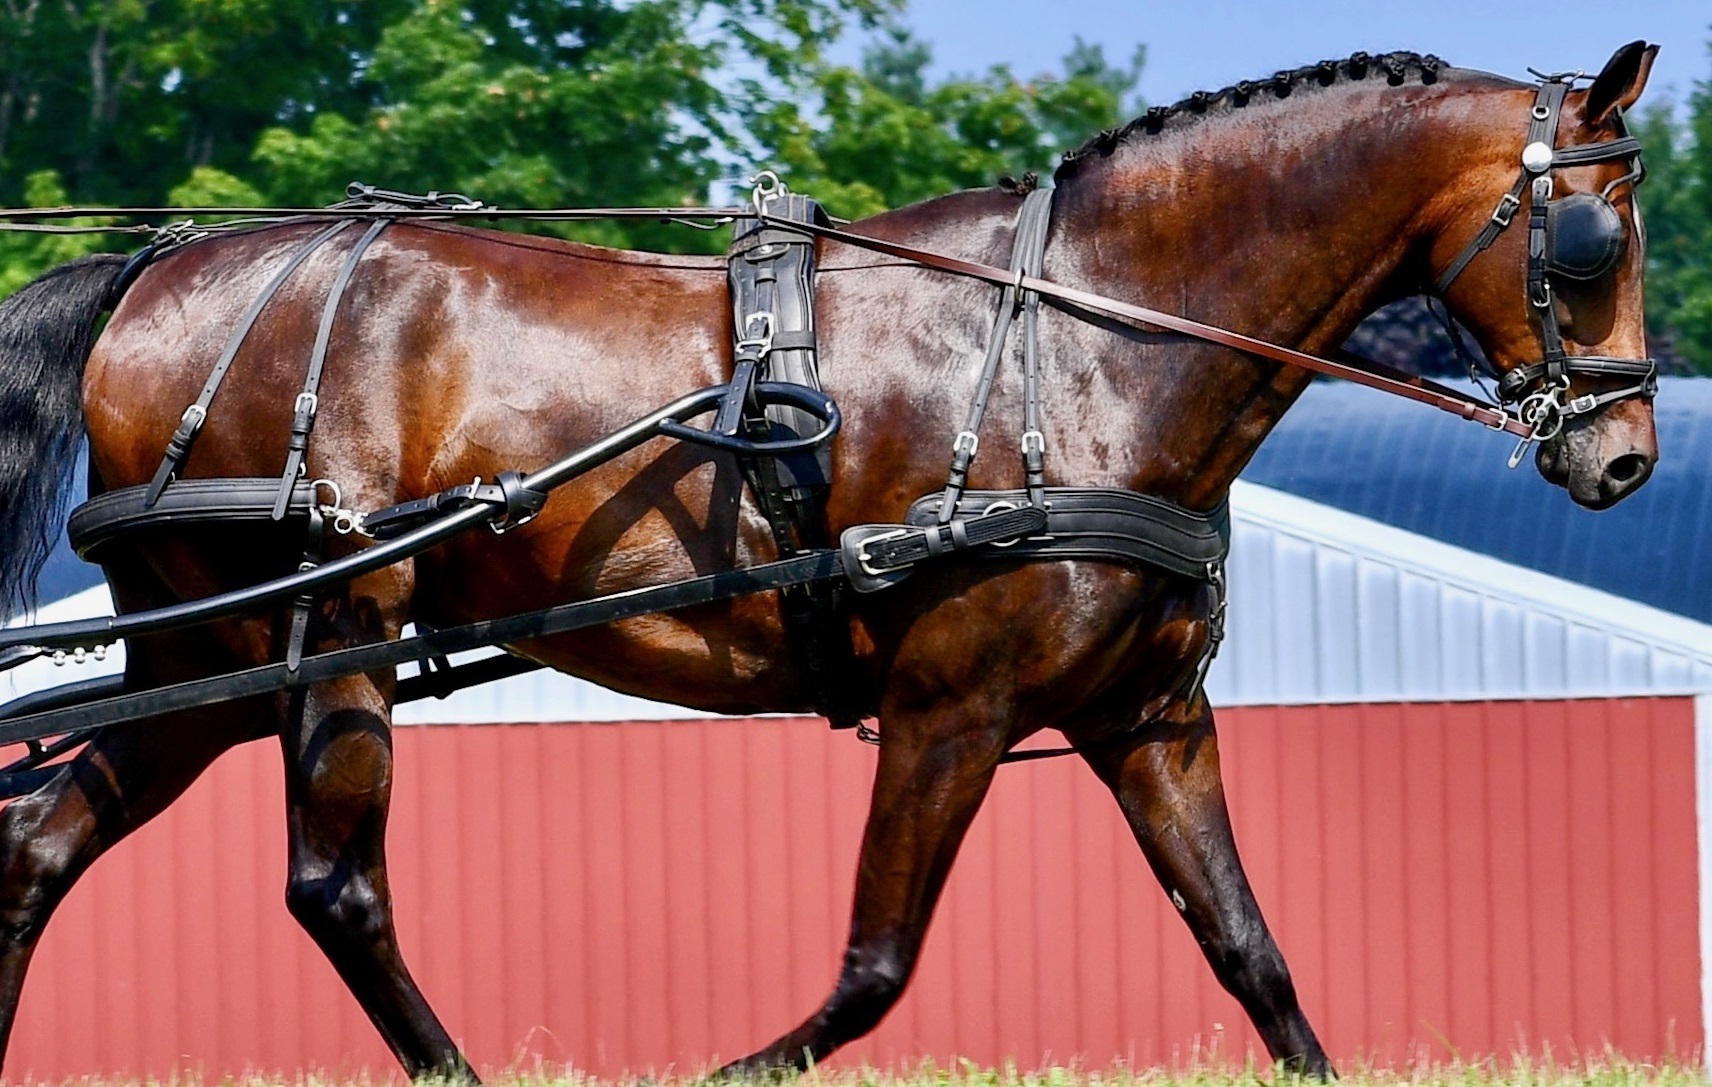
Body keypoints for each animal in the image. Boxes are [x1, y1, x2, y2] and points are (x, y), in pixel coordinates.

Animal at [0, 42, 1660, 1079]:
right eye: (1591, 234)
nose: (1626, 456)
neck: (1082, 346)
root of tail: (157, 271)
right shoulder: (951, 705)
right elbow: (876, 961)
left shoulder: (1146, 715)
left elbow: (1253, 952)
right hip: (334, 610)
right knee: (336, 884)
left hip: (214, 652)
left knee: (36, 850)